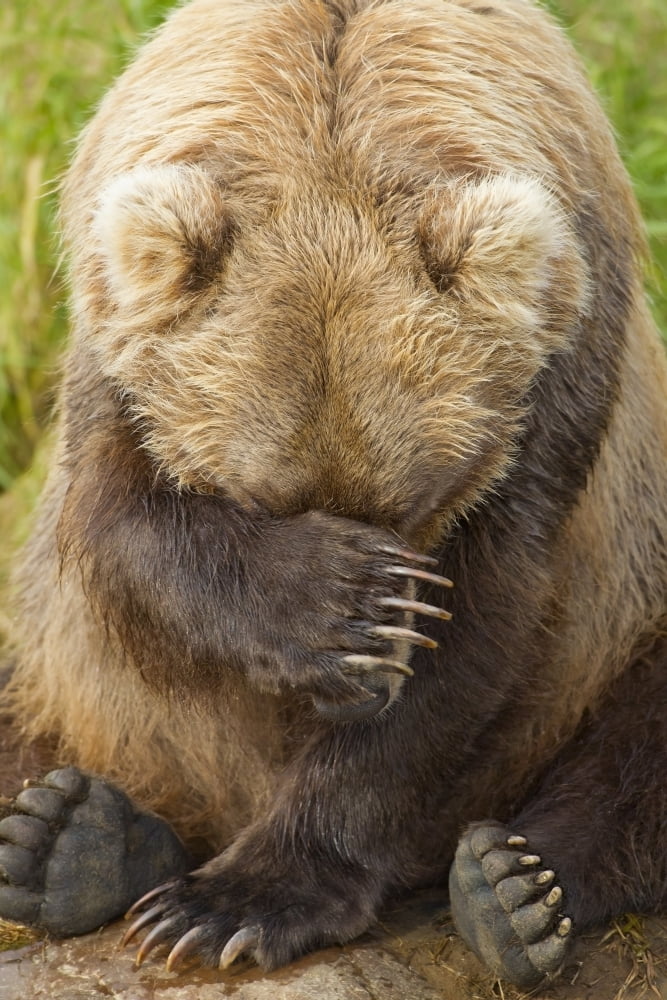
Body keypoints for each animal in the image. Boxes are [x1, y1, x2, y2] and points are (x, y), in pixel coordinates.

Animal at [1, 0, 666, 990]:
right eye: (260, 498)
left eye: (414, 506)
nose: (352, 694)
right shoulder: (115, 351)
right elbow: (122, 533)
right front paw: (339, 607)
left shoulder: (561, 371)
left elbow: (482, 625)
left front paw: (235, 903)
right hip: (63, 686)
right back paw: (64, 841)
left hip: (624, 616)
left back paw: (514, 889)